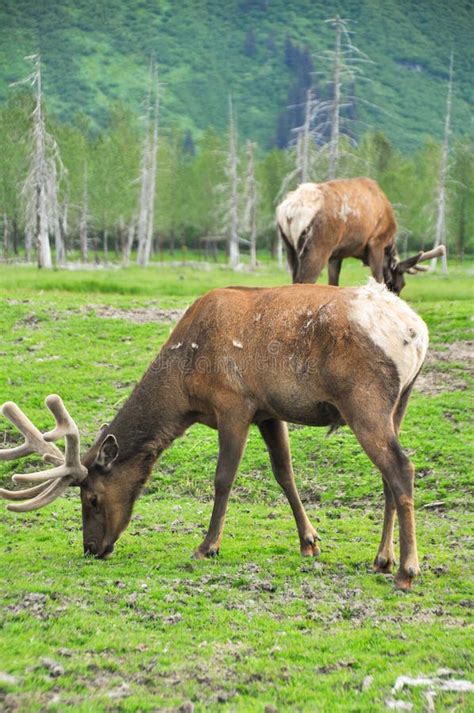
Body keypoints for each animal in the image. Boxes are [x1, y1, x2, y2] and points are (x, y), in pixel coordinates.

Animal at [0, 280, 430, 588]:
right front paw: (309, 541)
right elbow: (285, 474)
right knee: (388, 475)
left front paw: (207, 546)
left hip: (364, 400)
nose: (91, 548)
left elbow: (223, 478)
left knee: (401, 468)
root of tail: (417, 332)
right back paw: (382, 559)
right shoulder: (268, 412)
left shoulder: (233, 403)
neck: (183, 386)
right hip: (398, 405)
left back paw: (406, 570)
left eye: (91, 498)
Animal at [276, 177, 446, 290]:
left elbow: (334, 283)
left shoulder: (336, 254)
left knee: (294, 280)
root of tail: (290, 210)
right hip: (319, 245)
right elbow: (378, 279)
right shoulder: (377, 241)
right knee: (304, 280)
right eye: (397, 284)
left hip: (289, 247)